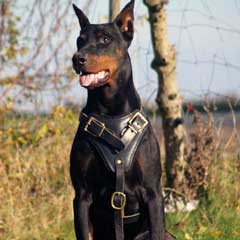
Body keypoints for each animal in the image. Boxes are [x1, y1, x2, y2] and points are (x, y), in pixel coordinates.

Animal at [70, 0, 175, 240]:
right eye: (80, 39)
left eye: (105, 39)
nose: (77, 58)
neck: (111, 113)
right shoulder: (81, 195)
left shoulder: (153, 193)